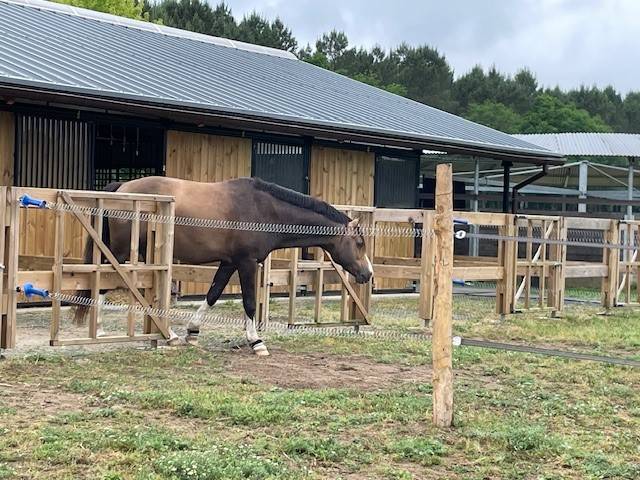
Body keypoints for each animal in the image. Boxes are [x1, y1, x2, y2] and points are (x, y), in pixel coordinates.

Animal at [79, 176, 373, 356]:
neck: (265, 210)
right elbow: (250, 303)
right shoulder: (246, 263)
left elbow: (212, 294)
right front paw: (256, 342)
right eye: (359, 242)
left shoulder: (229, 263)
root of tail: (122, 188)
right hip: (118, 252)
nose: (368, 274)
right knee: (106, 283)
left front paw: (193, 331)